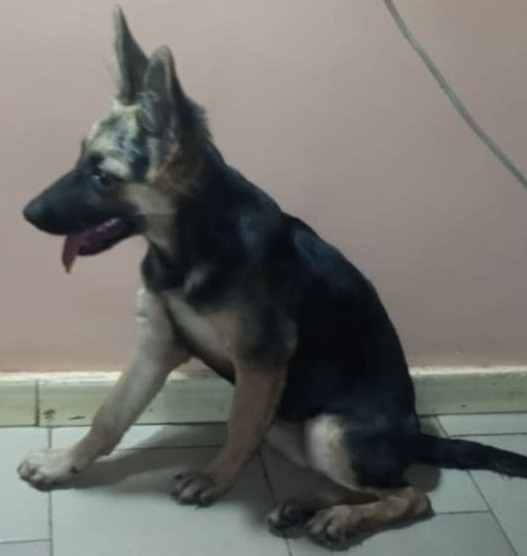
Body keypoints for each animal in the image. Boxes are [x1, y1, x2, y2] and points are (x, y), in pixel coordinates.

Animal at [17, 6, 527, 548]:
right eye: (79, 159)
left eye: (102, 175)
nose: (26, 213)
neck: (190, 243)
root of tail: (415, 438)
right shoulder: (156, 344)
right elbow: (109, 416)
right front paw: (63, 463)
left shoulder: (259, 360)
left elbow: (238, 426)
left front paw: (214, 478)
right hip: (290, 430)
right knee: (366, 488)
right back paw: (304, 506)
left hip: (328, 431)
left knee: (410, 496)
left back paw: (339, 519)